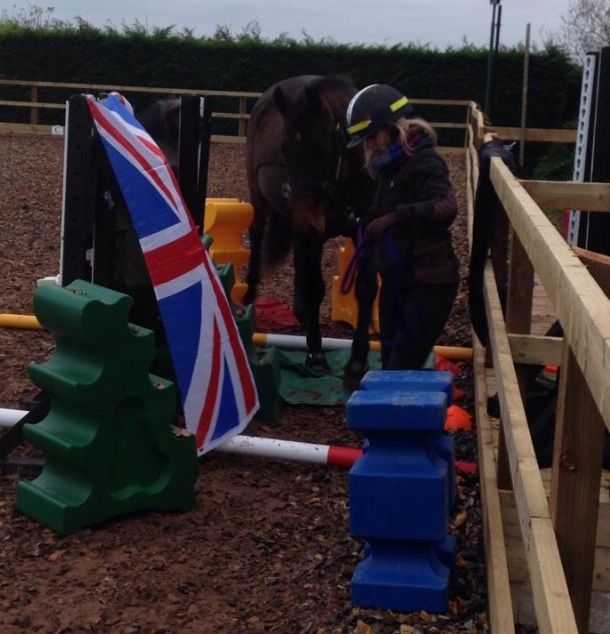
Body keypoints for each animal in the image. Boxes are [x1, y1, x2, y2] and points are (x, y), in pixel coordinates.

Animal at [241, 74, 376, 372]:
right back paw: (248, 300)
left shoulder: (365, 229)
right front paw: (315, 352)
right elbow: (315, 288)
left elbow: (365, 288)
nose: (304, 220)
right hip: (263, 203)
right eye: (284, 150)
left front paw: (358, 358)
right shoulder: (310, 231)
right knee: (257, 241)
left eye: (322, 149)